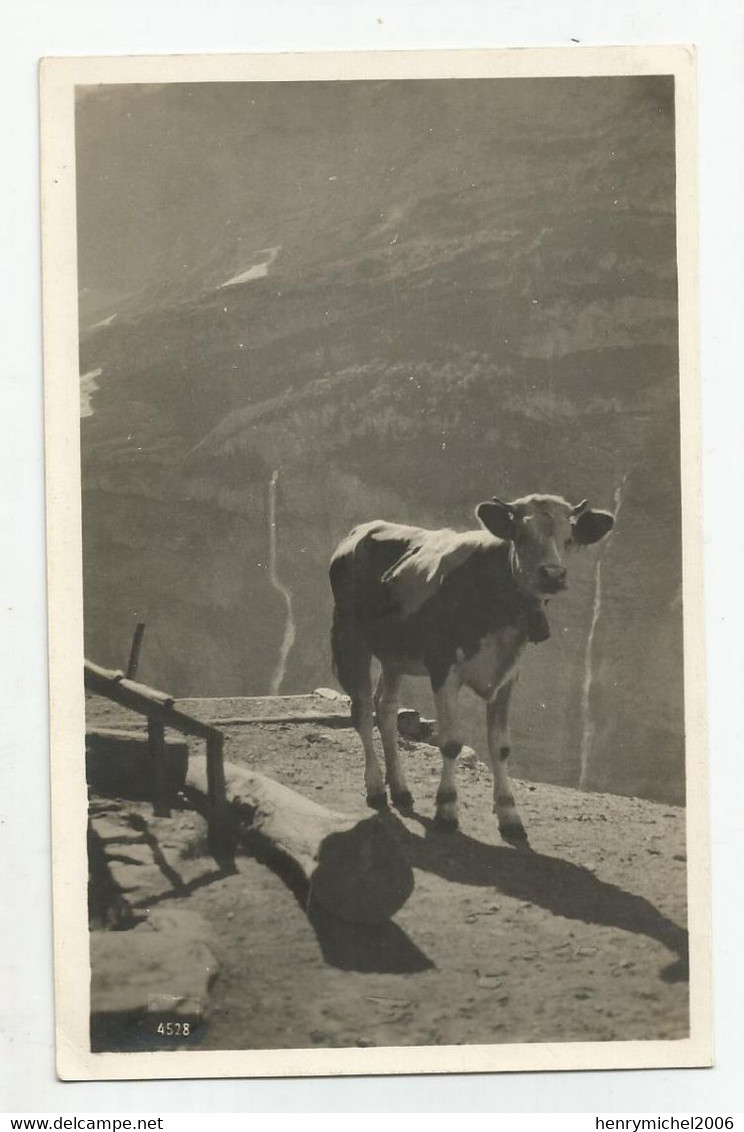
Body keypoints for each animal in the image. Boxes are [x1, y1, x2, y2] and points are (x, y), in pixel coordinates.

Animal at [328, 491, 611, 846]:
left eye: (569, 537)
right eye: (521, 536)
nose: (553, 574)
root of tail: (362, 529)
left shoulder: (507, 677)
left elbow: (501, 748)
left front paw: (510, 816)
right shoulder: (443, 669)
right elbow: (451, 743)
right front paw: (447, 811)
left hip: (395, 654)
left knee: (387, 709)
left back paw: (401, 788)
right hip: (350, 639)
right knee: (364, 712)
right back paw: (377, 787)